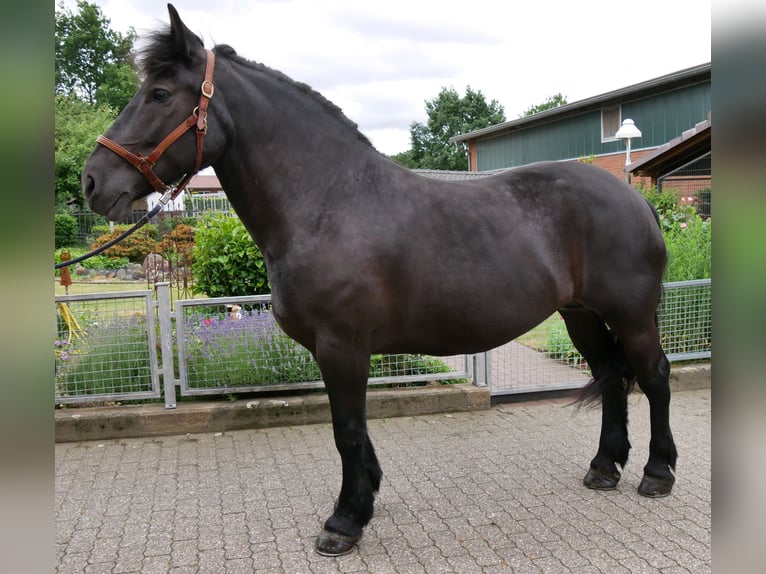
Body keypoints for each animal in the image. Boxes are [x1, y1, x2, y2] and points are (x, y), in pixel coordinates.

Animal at [81, 4, 677, 556]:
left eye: (159, 94)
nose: (92, 181)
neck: (328, 202)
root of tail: (635, 198)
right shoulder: (335, 349)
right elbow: (357, 429)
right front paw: (366, 497)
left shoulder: (342, 345)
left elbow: (346, 430)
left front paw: (344, 522)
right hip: (581, 316)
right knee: (611, 378)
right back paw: (604, 468)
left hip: (632, 317)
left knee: (653, 377)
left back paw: (657, 473)